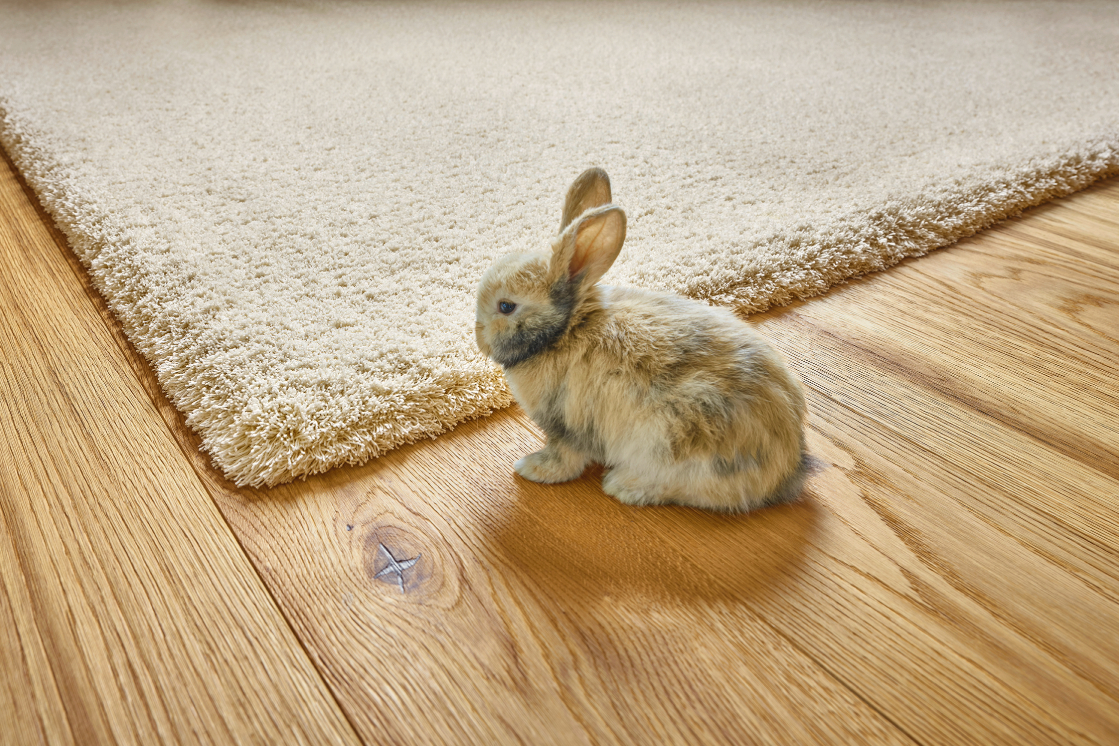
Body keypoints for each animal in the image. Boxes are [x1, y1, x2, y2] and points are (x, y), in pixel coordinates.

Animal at [476, 166, 810, 510]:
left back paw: (623, 486)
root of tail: (787, 469)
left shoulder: (565, 426)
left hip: (676, 438)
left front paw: (531, 468)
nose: (478, 336)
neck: (564, 330)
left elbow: (564, 458)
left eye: (506, 306)